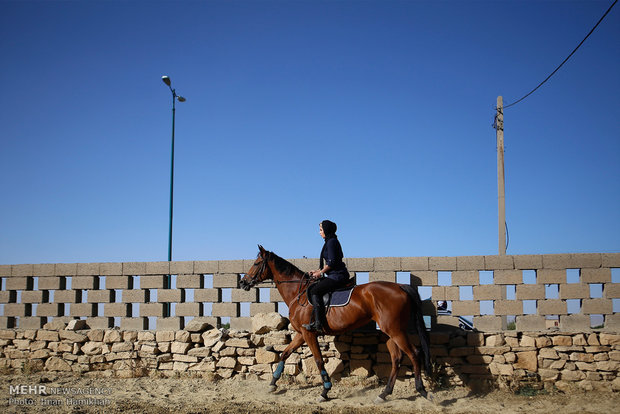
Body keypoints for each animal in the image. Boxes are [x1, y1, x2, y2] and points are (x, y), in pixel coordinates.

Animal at [239, 247, 432, 402]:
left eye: (256, 263)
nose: (243, 282)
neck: (298, 293)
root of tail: (400, 287)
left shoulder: (309, 334)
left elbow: (318, 360)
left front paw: (325, 391)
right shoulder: (302, 333)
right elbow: (285, 354)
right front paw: (273, 383)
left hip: (395, 331)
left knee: (414, 354)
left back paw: (422, 390)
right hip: (391, 332)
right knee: (397, 359)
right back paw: (384, 394)